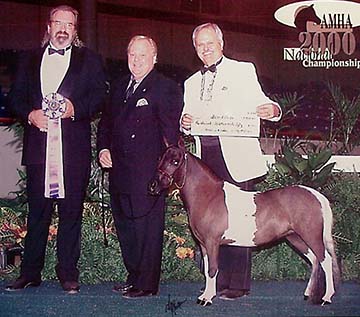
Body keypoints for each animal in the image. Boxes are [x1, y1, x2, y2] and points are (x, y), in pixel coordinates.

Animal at [149, 142, 340, 304]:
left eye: (175, 161)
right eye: (160, 158)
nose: (153, 186)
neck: (209, 196)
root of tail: (316, 195)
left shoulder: (212, 242)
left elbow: (212, 269)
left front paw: (207, 299)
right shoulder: (203, 244)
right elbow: (207, 269)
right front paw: (204, 296)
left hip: (311, 236)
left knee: (325, 261)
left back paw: (326, 298)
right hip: (295, 238)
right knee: (314, 260)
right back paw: (308, 294)